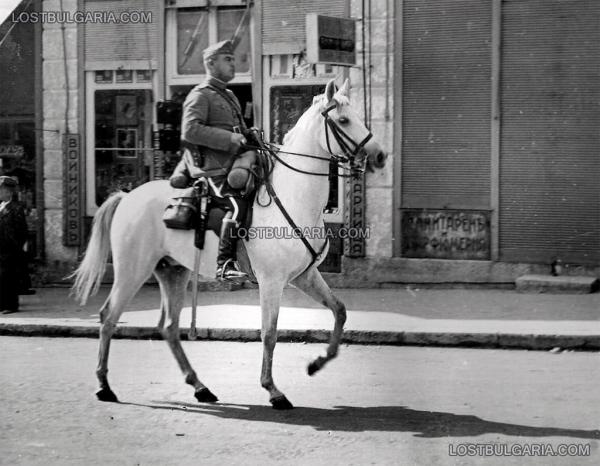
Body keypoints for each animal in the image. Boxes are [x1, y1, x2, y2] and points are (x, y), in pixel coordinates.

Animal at [72, 78, 386, 410]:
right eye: (343, 120)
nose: (379, 155)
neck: (294, 196)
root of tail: (127, 196)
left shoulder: (305, 275)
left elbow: (340, 311)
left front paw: (316, 363)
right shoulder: (272, 281)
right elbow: (269, 333)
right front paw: (273, 390)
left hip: (173, 272)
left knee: (169, 328)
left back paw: (200, 387)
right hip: (133, 271)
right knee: (108, 317)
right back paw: (104, 386)